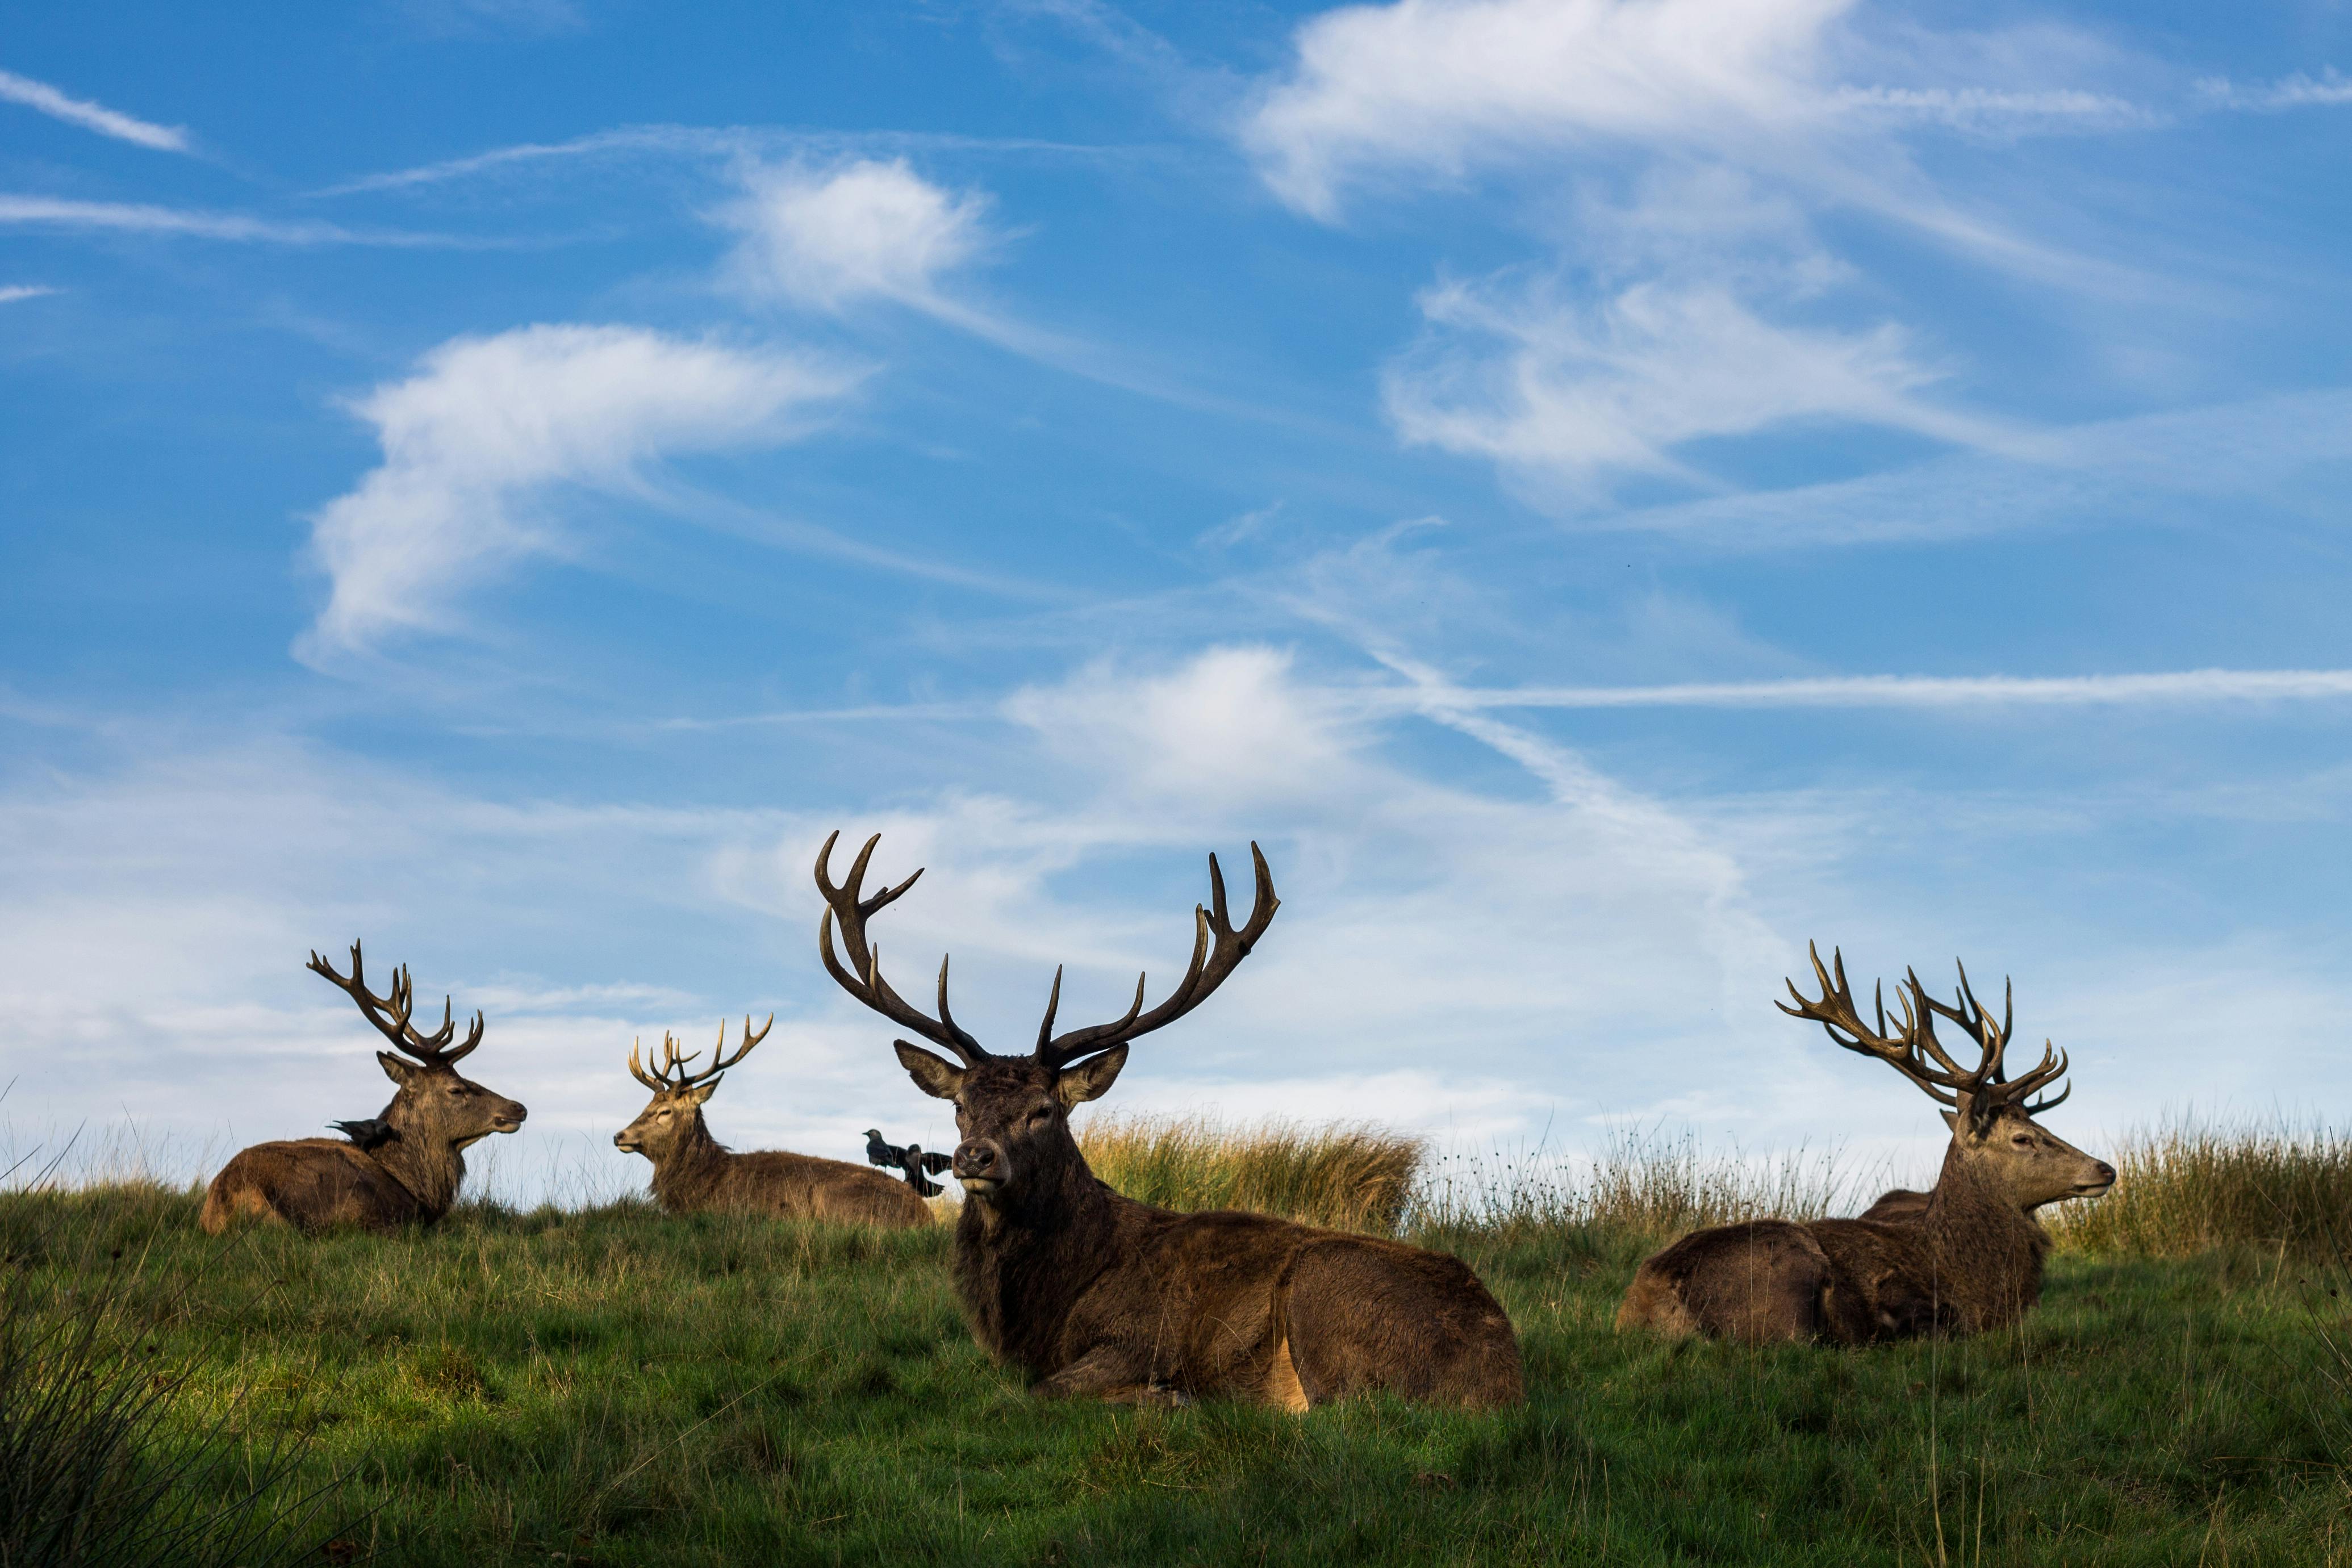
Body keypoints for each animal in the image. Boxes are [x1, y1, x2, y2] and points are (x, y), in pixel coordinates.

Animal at [813, 831, 1524, 1410]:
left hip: (1326, 1293)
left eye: (1044, 1110)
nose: (974, 1157)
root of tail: (1505, 1378)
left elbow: (1045, 1389)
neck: (1043, 1307)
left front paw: (1168, 1395)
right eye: (959, 1104)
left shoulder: (1140, 1335)